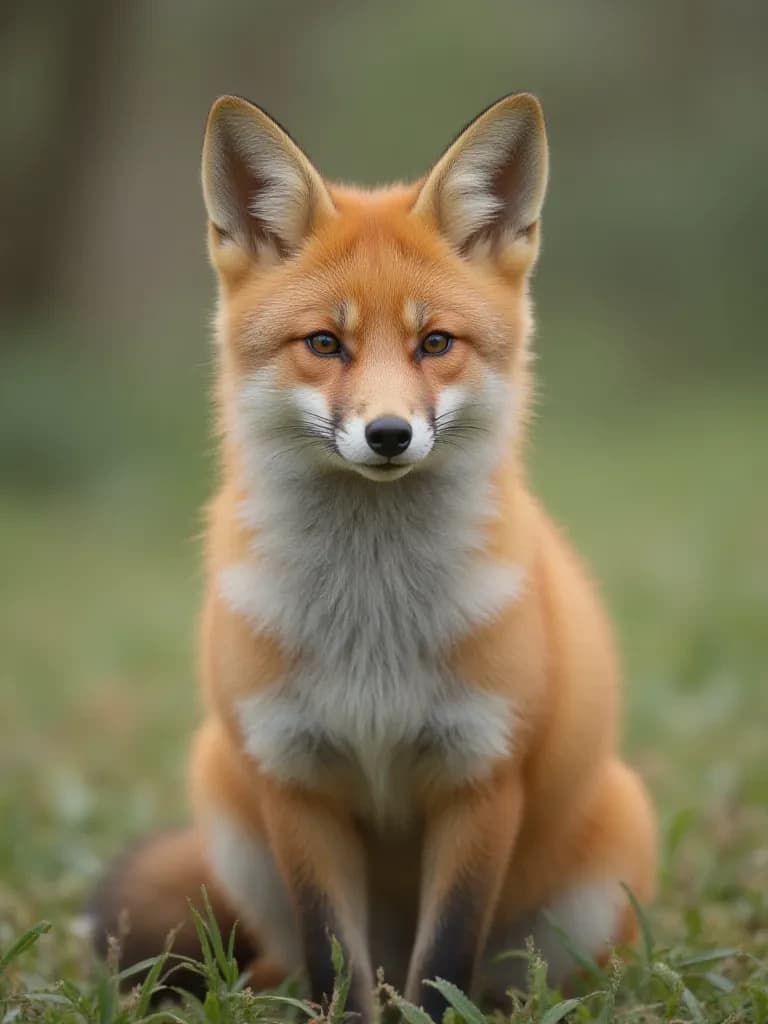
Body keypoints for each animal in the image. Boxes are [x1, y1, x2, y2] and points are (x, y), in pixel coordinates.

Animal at [91, 93, 656, 1018]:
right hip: (228, 804)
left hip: (592, 875)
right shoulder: (295, 781)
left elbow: (442, 965)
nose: (389, 434)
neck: (372, 625)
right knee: (292, 966)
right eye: (326, 344)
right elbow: (333, 960)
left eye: (436, 344)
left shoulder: (481, 778)